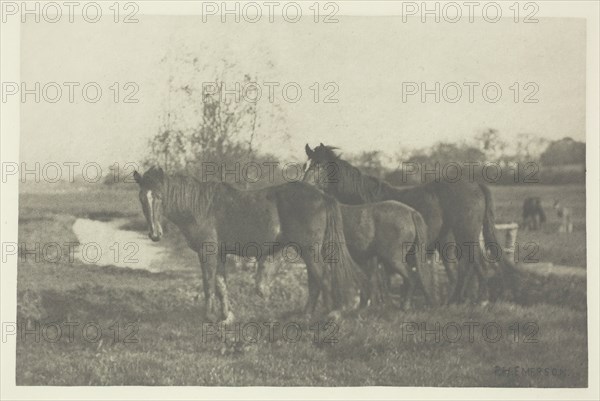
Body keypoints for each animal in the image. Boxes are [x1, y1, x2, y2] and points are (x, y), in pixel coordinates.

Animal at [133, 166, 364, 322]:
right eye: (141, 198)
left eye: (159, 197)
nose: (154, 234)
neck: (200, 207)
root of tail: (323, 196)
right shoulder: (220, 253)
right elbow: (221, 284)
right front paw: (226, 317)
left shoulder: (207, 252)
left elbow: (208, 284)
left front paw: (209, 317)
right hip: (309, 250)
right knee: (315, 280)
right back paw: (306, 315)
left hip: (309, 250)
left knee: (323, 277)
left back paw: (329, 315)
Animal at [256, 200, 436, 310]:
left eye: (263, 264)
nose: (260, 291)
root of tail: (411, 212)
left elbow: (316, 285)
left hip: (394, 259)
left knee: (412, 278)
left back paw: (405, 306)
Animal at [302, 144, 516, 304]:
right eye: (306, 165)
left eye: (320, 165)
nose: (304, 186)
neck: (367, 199)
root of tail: (476, 185)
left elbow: (379, 277)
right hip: (450, 238)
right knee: (464, 268)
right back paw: (456, 300)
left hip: (466, 233)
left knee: (477, 264)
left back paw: (480, 299)